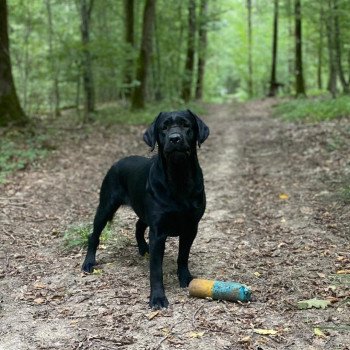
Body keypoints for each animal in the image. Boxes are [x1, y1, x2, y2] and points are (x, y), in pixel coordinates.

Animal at [82, 110, 208, 308]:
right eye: (164, 127)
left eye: (186, 125)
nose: (174, 138)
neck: (178, 177)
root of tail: (117, 162)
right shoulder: (158, 231)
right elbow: (156, 269)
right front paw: (157, 298)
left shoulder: (191, 227)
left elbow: (183, 256)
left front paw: (185, 278)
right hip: (106, 206)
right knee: (94, 234)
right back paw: (88, 263)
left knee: (138, 225)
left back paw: (143, 248)